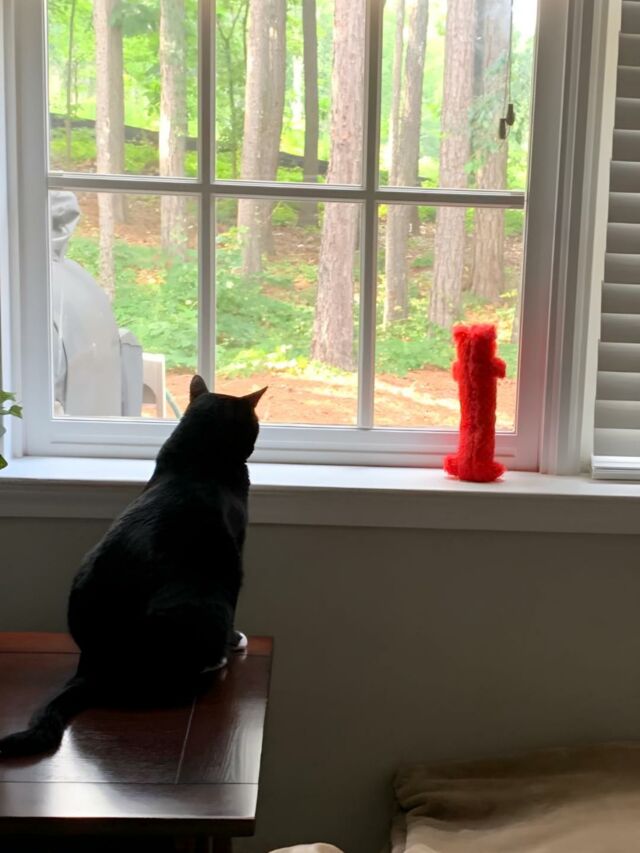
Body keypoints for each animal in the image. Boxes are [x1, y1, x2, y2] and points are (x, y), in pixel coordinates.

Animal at [0, 375, 266, 757]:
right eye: (255, 424)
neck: (197, 461)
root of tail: (94, 664)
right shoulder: (235, 553)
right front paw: (236, 639)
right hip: (204, 603)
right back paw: (215, 660)